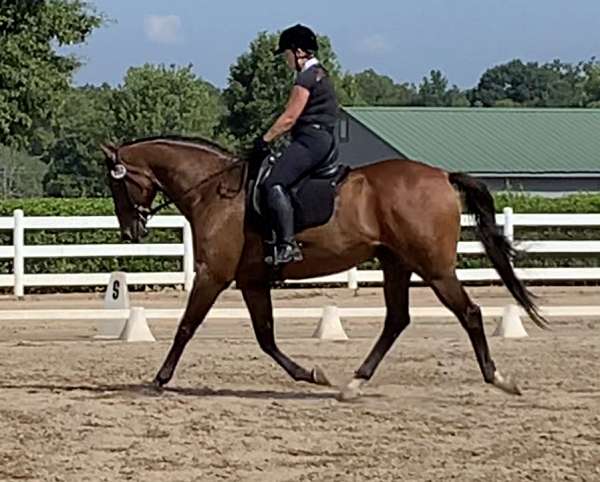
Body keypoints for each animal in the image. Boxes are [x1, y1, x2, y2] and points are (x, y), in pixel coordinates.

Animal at [99, 136, 548, 400]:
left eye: (116, 183)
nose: (130, 230)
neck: (214, 190)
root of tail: (441, 175)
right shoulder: (252, 281)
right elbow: (266, 338)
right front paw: (312, 374)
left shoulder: (213, 275)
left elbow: (186, 327)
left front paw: (158, 379)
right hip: (396, 263)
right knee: (396, 320)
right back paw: (353, 383)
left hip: (434, 269)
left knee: (469, 313)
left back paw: (499, 379)